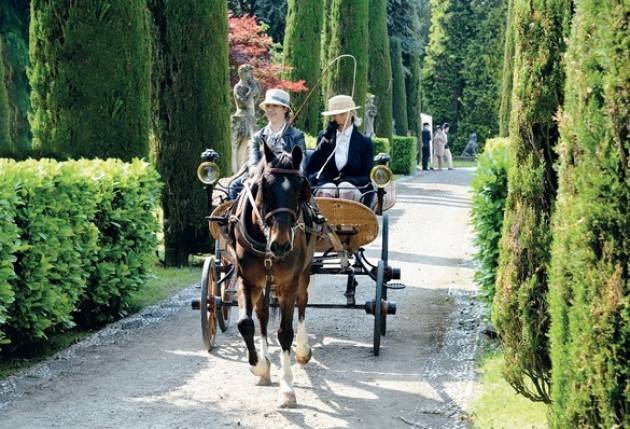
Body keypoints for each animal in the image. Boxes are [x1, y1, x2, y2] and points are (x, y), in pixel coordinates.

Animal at [228, 142, 316, 406]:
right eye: (263, 188)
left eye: (299, 189)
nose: (281, 244)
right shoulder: (247, 281)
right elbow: (245, 323)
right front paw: (259, 365)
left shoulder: (288, 283)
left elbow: (285, 332)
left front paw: (287, 387)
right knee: (262, 315)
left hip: (304, 273)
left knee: (302, 302)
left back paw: (302, 349)